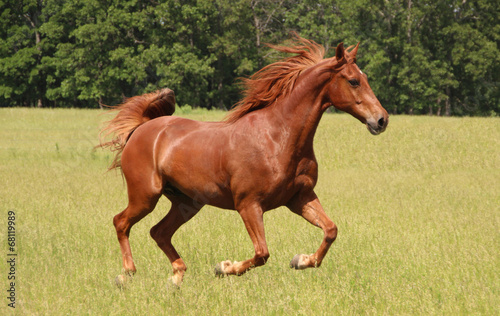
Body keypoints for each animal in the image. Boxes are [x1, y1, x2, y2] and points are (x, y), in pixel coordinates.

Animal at [97, 34, 386, 286]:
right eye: (353, 81)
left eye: (365, 78)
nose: (381, 120)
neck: (277, 137)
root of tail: (141, 129)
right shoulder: (249, 205)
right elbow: (262, 253)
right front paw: (224, 267)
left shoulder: (300, 198)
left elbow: (330, 230)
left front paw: (301, 260)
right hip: (145, 196)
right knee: (121, 222)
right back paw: (126, 275)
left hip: (186, 203)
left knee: (159, 232)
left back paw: (176, 278)